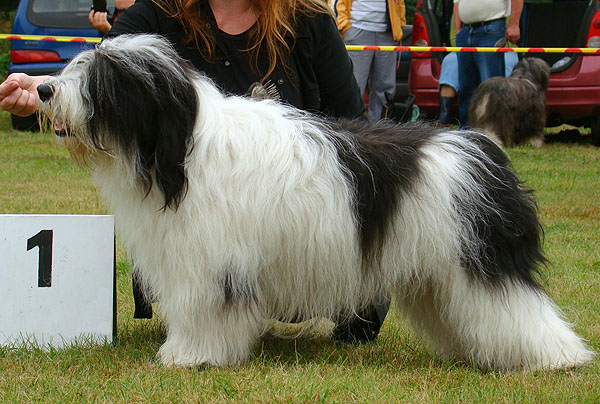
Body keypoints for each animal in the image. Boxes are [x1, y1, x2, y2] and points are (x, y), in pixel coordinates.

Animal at [38, 36, 596, 370]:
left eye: (102, 78)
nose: (43, 89)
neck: (182, 150)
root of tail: (482, 146)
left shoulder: (212, 262)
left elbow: (206, 312)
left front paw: (189, 355)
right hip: (437, 275)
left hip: (479, 260)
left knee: (522, 309)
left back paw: (559, 358)